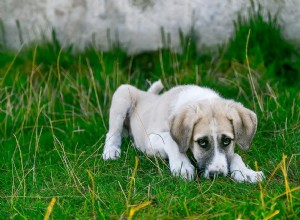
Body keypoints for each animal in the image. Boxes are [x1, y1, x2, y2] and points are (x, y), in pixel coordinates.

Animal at [102, 80, 264, 182]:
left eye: (226, 141)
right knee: (112, 132)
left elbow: (235, 155)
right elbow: (171, 140)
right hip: (123, 93)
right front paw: (182, 166)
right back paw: (111, 151)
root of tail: (146, 94)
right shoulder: (150, 139)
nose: (217, 175)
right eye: (202, 142)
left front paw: (246, 172)